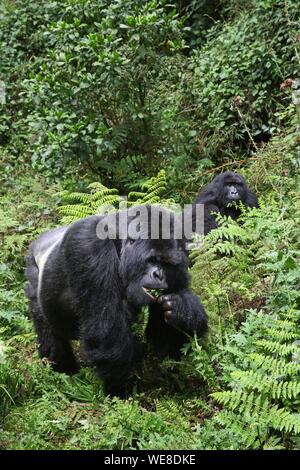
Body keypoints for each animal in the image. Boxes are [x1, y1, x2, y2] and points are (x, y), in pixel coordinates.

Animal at [24, 207, 207, 394]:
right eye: (152, 260)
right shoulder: (88, 246)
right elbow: (106, 333)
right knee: (48, 330)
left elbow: (162, 343)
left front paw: (182, 311)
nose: (159, 275)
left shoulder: (182, 254)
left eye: (167, 264)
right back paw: (63, 371)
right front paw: (121, 390)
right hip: (32, 269)